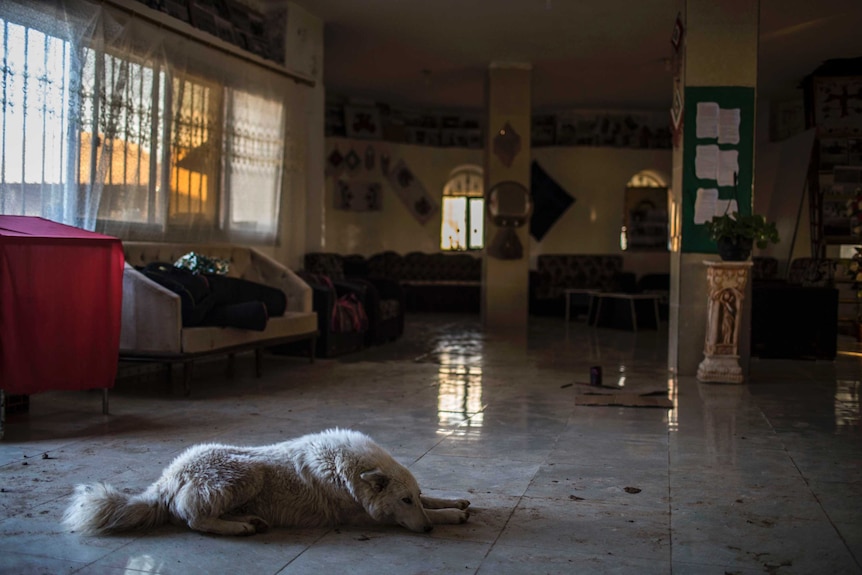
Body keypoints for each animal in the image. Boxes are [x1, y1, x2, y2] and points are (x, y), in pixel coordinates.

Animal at [64, 430, 472, 536]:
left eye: (412, 497)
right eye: (403, 502)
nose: (427, 530)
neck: (345, 469)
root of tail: (167, 478)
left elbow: (436, 498)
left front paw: (455, 502)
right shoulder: (362, 516)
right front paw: (450, 517)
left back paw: (249, 521)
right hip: (248, 473)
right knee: (193, 519)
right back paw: (241, 527)